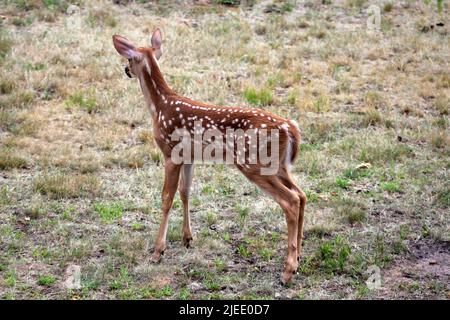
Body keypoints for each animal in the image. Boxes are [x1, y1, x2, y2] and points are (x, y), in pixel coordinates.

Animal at [113, 28, 306, 284]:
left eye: (128, 59)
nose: (126, 71)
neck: (159, 106)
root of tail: (291, 129)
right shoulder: (189, 156)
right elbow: (185, 192)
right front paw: (187, 239)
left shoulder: (170, 152)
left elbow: (166, 198)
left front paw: (158, 251)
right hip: (279, 165)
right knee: (302, 195)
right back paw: (298, 259)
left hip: (253, 162)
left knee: (291, 200)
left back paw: (287, 271)